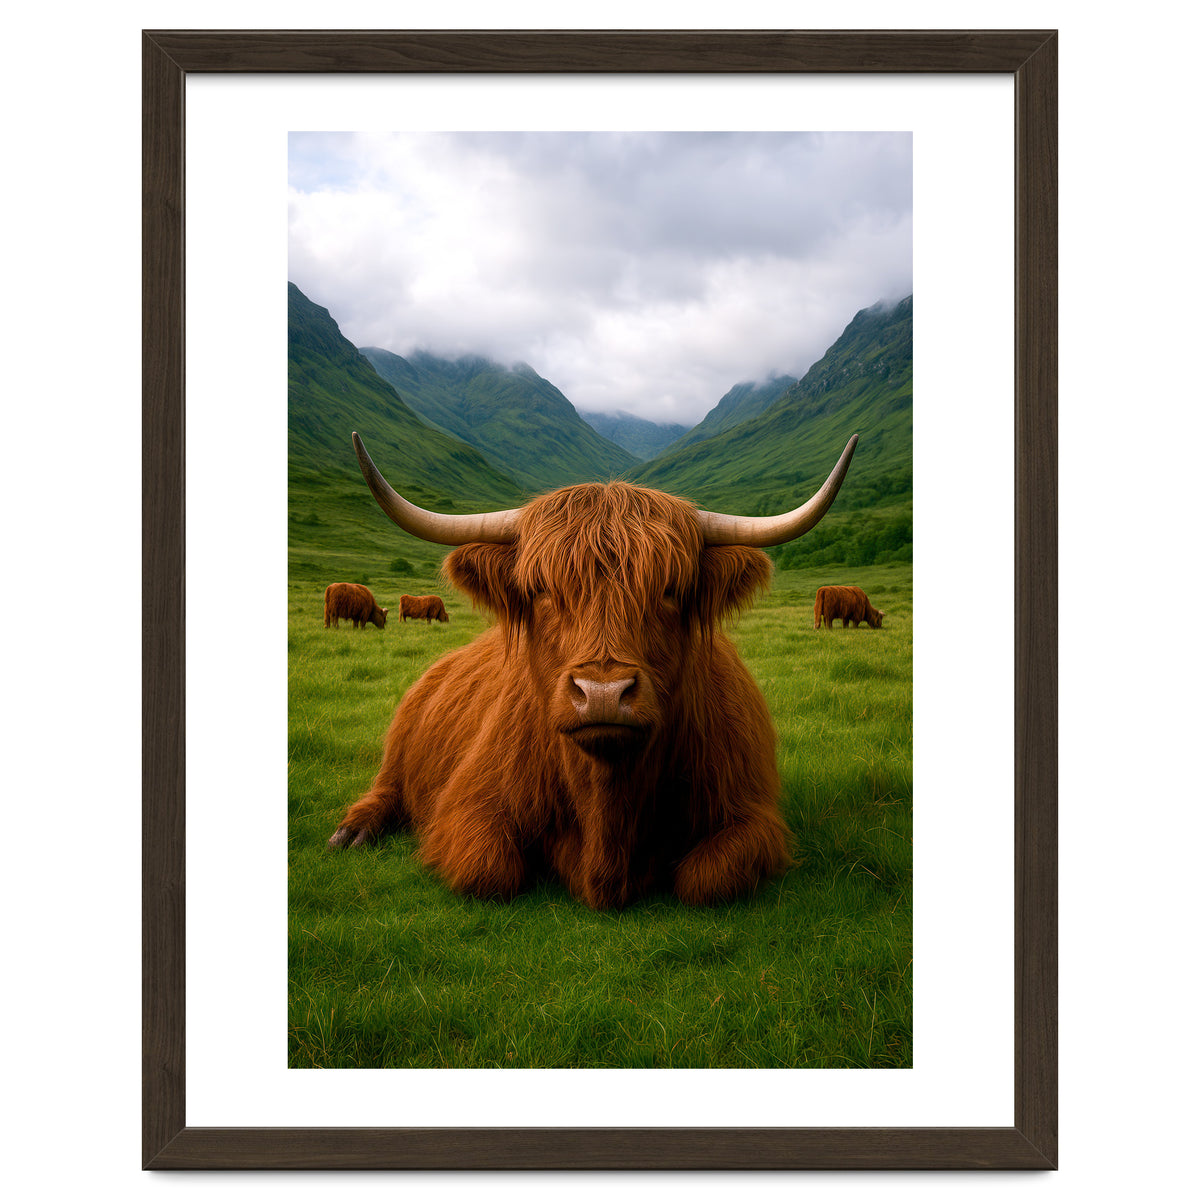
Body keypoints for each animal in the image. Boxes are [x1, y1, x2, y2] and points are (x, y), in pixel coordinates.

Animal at [328, 431, 858, 910]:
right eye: (541, 589)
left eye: (671, 590)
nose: (603, 693)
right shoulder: (467, 804)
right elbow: (489, 870)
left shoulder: (751, 815)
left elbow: (706, 880)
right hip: (400, 745)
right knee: (387, 787)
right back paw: (352, 831)